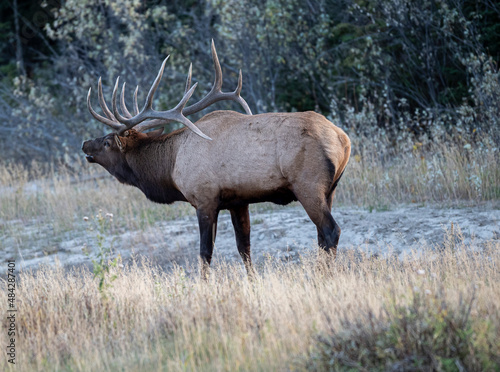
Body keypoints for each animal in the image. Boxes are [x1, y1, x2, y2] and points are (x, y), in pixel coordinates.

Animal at [82, 41, 350, 276]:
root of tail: (343, 140)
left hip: (308, 185)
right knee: (320, 236)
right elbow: (244, 248)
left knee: (330, 231)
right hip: (331, 189)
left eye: (107, 142)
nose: (85, 143)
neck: (171, 167)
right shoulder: (237, 201)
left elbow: (205, 253)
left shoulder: (205, 199)